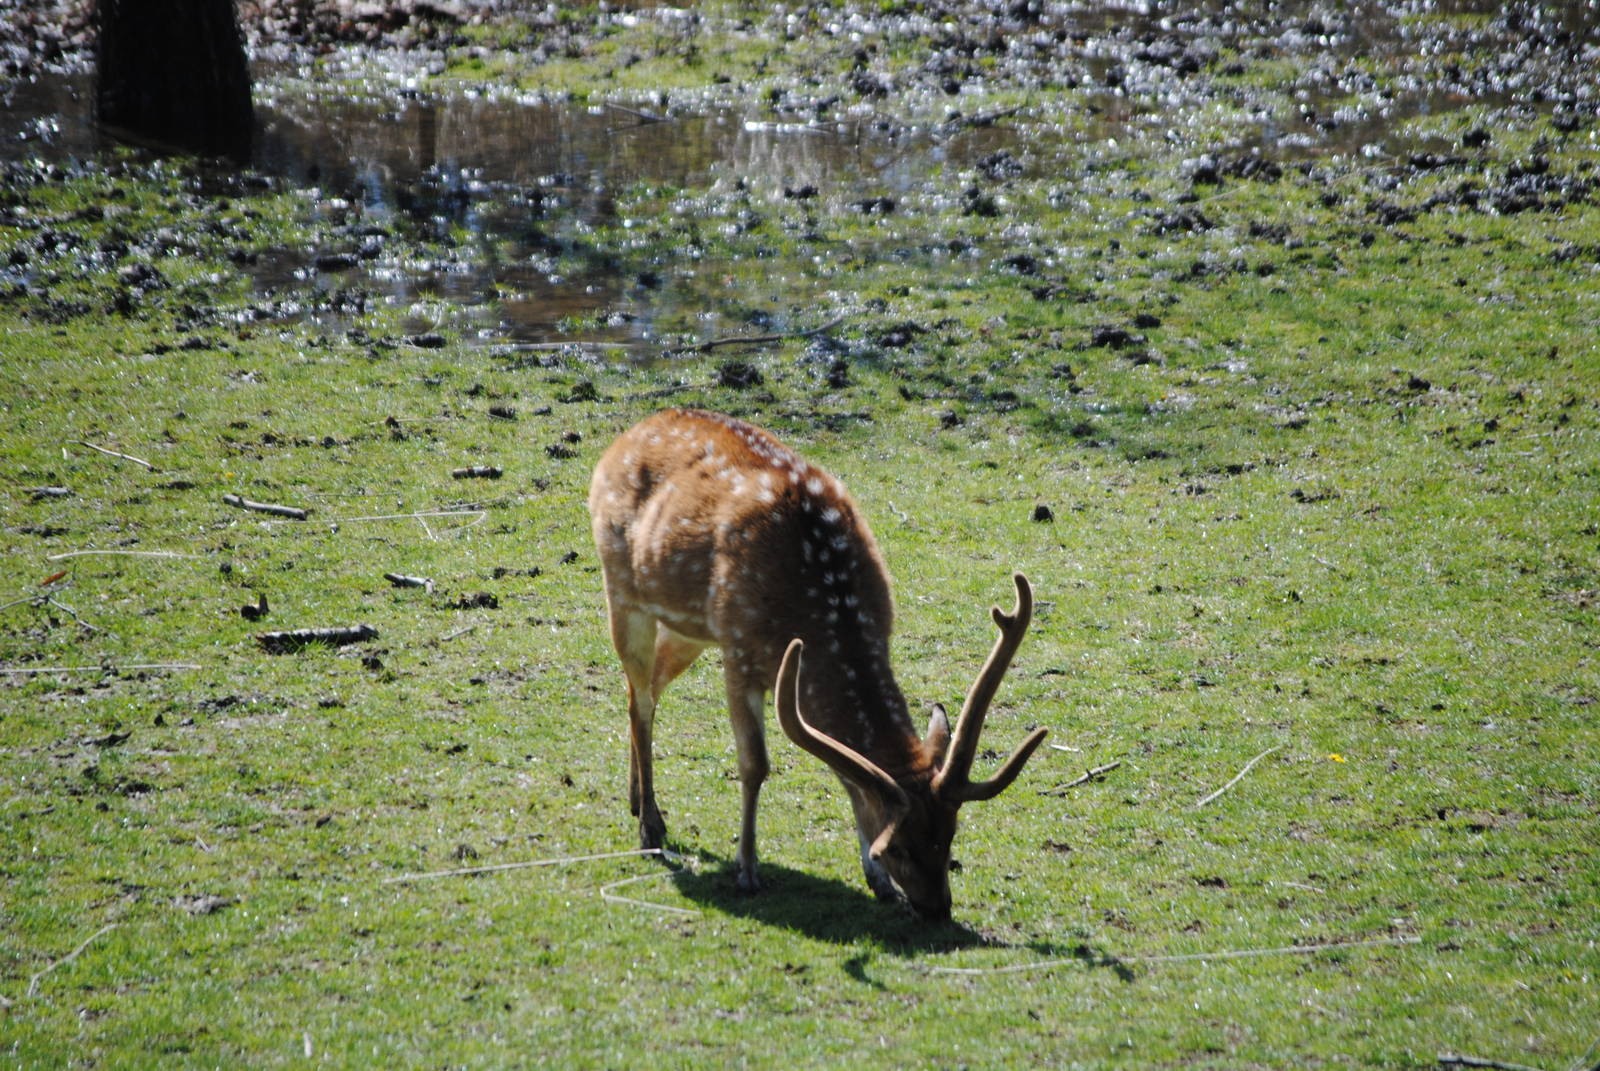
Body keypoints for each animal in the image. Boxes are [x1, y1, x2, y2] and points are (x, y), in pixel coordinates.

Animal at [587, 408, 1047, 921]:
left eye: (950, 834)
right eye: (898, 846)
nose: (936, 909)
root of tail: (629, 435)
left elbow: (849, 775)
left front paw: (879, 884)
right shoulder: (739, 649)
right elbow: (754, 765)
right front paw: (747, 870)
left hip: (687, 629)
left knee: (646, 688)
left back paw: (637, 801)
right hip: (623, 591)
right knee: (641, 698)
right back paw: (650, 825)